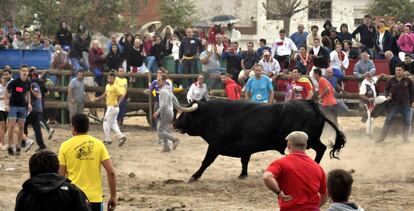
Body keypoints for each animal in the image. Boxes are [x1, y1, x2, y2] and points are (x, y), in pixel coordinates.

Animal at [175, 99, 346, 181]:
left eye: (185, 114)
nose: (174, 123)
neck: (214, 116)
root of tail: (309, 103)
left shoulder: (214, 146)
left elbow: (206, 161)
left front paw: (194, 176)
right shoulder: (245, 148)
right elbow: (244, 161)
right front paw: (242, 175)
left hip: (308, 140)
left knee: (321, 149)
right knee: (321, 148)